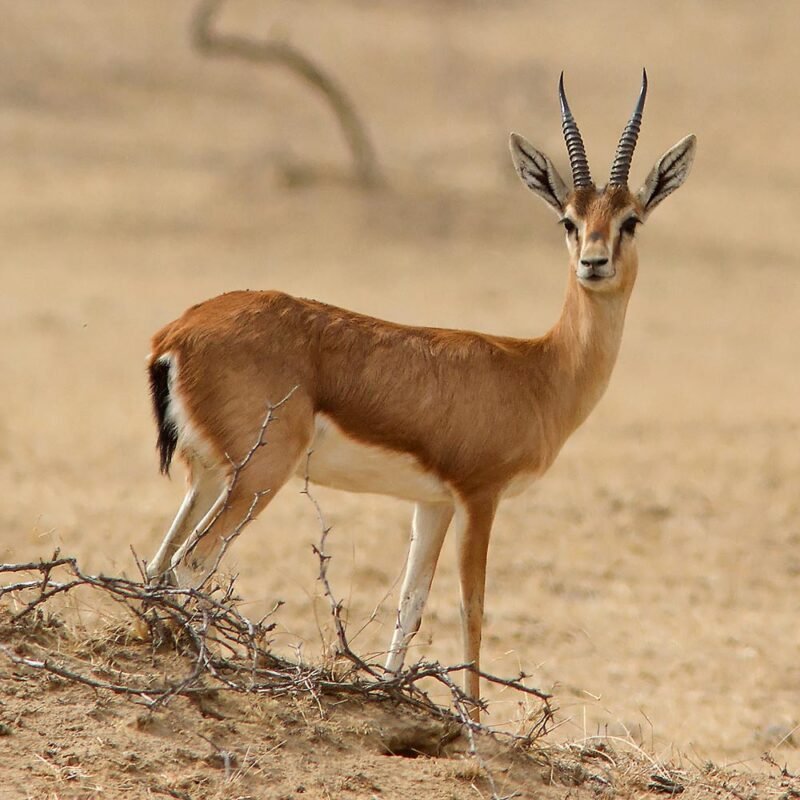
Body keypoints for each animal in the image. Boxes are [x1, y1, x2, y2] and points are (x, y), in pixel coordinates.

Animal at [145, 70, 695, 717]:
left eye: (631, 218)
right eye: (568, 219)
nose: (594, 262)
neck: (538, 369)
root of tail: (178, 331)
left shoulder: (432, 504)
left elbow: (411, 604)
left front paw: (389, 694)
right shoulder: (479, 497)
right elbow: (471, 611)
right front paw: (475, 723)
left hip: (210, 475)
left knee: (159, 565)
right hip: (259, 475)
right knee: (192, 565)